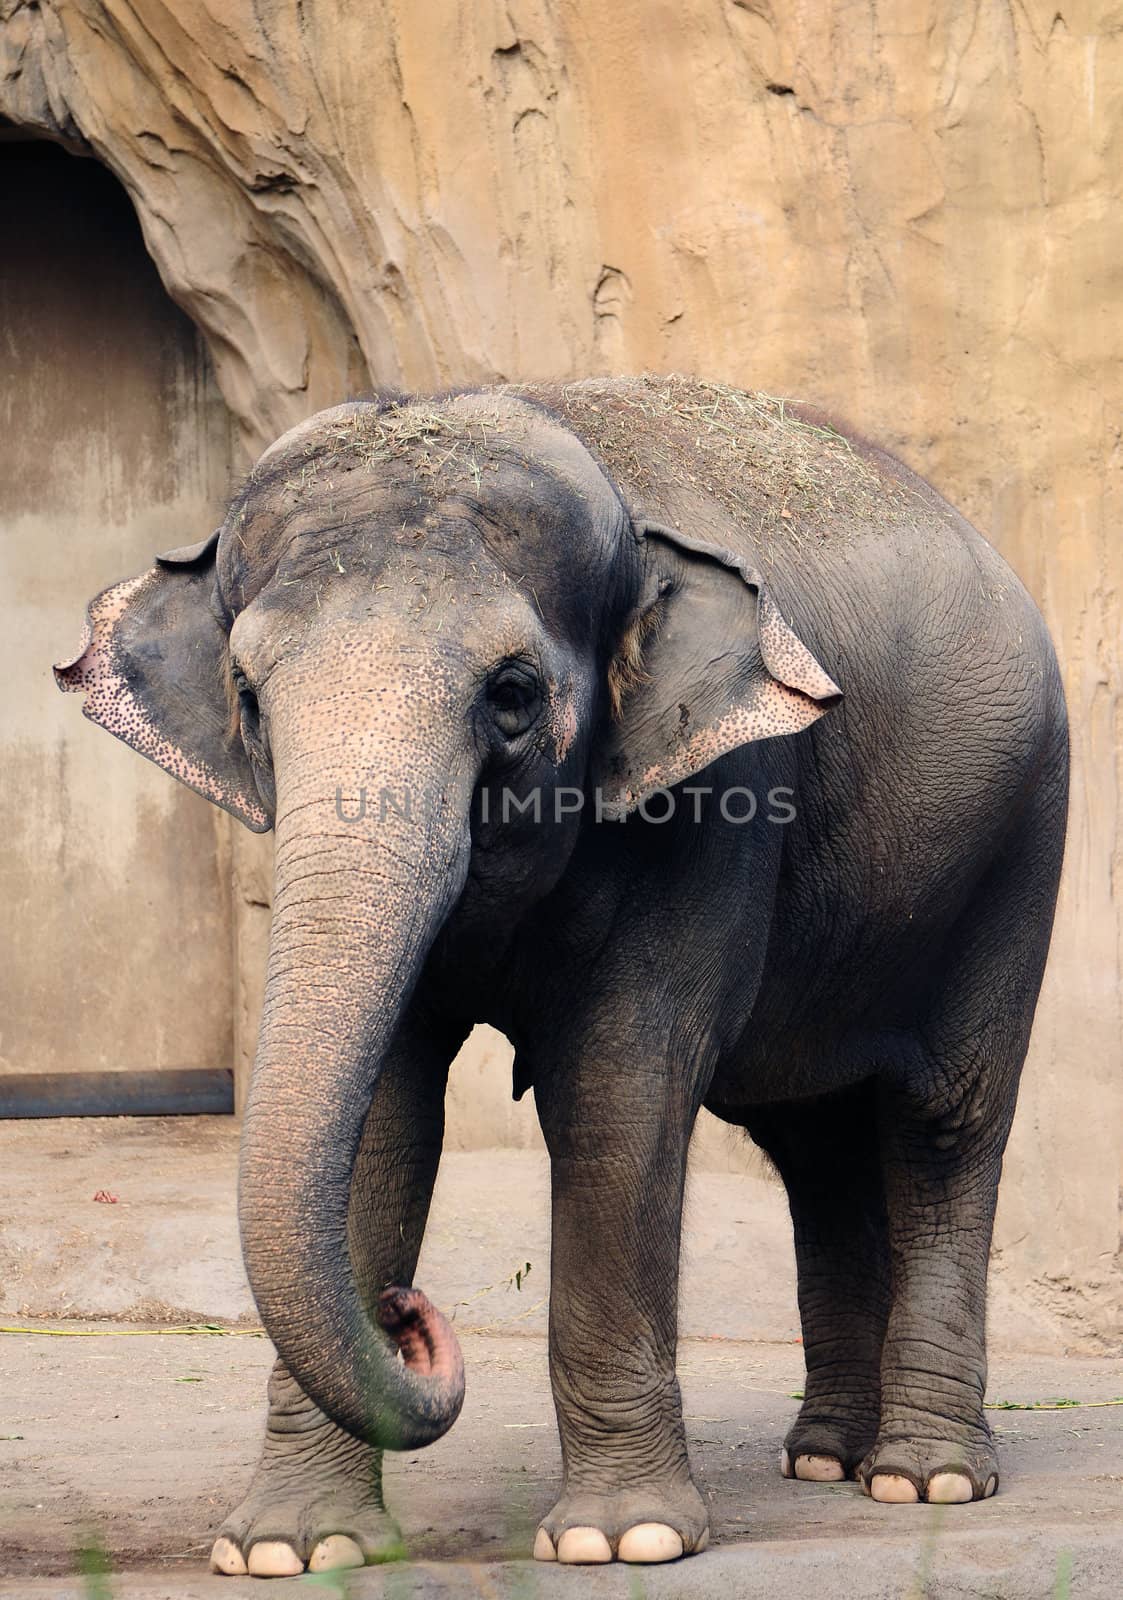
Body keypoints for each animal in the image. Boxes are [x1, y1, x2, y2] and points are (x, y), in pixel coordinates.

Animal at [55, 374, 1075, 1574]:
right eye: (250, 696)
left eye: (511, 693)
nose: (407, 1314)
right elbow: (385, 1111)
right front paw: (291, 1551)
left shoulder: (718, 803)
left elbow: (618, 1088)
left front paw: (621, 1540)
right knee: (814, 1146)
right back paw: (823, 1457)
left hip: (1019, 844)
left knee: (941, 1126)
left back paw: (926, 1477)